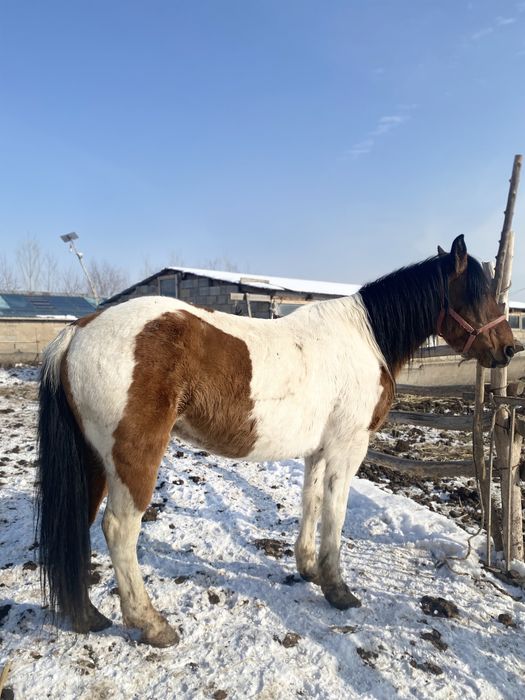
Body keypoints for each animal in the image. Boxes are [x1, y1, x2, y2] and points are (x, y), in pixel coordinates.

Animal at [36, 235, 517, 647]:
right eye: (478, 294)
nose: (510, 349)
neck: (365, 339)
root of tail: (79, 330)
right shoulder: (346, 450)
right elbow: (335, 515)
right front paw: (338, 590)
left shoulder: (318, 452)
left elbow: (311, 504)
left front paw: (307, 569)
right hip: (133, 457)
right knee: (119, 530)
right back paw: (152, 624)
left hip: (93, 461)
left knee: (81, 521)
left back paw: (87, 616)